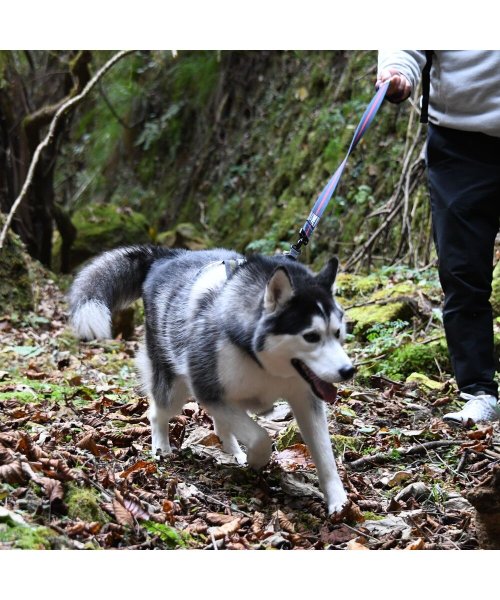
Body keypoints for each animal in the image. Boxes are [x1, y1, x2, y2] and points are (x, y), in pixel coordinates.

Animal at [70, 245, 356, 516]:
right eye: (311, 336)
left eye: (337, 332)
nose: (348, 371)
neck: (261, 361)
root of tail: (168, 255)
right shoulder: (206, 388)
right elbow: (260, 437)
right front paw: (257, 460)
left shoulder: (305, 398)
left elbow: (324, 454)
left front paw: (338, 502)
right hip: (174, 388)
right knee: (158, 413)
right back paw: (162, 447)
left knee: (221, 423)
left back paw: (233, 451)